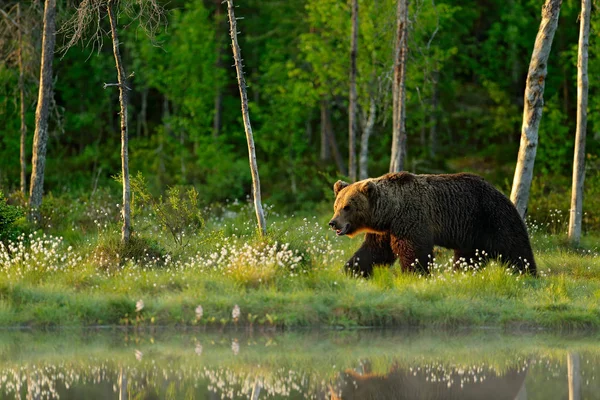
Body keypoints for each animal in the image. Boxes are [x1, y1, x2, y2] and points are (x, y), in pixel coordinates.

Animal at [330, 172, 536, 278]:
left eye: (347, 207)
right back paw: (461, 273)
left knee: (514, 247)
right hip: (472, 233)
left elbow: (414, 251)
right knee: (469, 257)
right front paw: (351, 270)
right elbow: (373, 251)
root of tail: (500, 192)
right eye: (336, 205)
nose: (333, 223)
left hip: (491, 217)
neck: (390, 212)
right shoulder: (386, 230)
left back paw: (528, 273)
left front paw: (415, 274)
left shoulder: (411, 219)